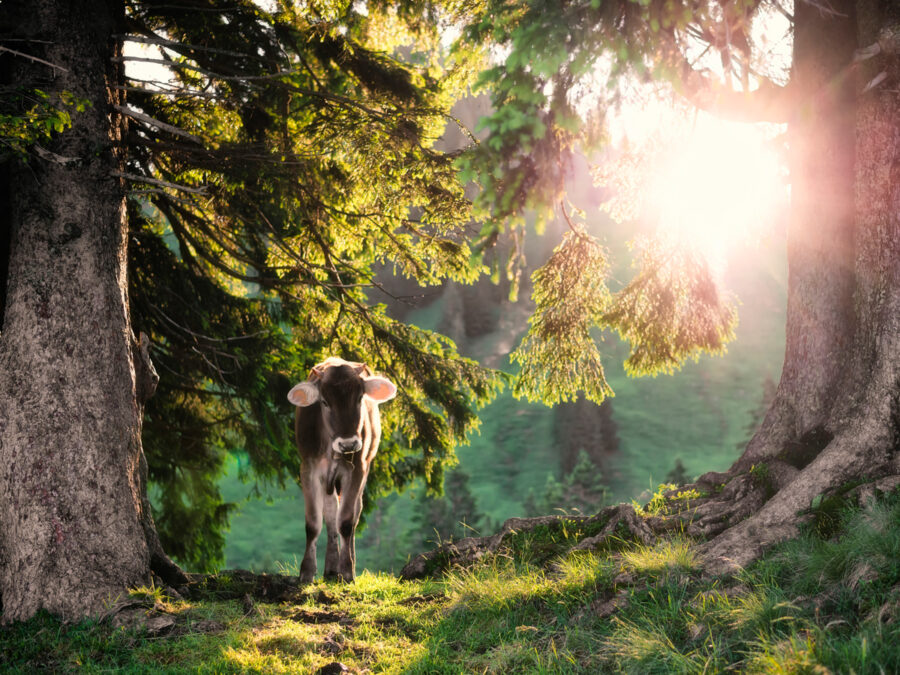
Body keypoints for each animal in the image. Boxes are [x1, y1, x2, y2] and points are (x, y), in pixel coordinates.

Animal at [287, 357, 397, 583]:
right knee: (330, 515)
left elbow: (346, 521)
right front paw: (307, 571)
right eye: (324, 402)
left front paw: (347, 570)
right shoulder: (308, 468)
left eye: (360, 398)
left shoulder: (357, 469)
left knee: (354, 514)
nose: (348, 444)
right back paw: (330, 568)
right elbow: (313, 523)